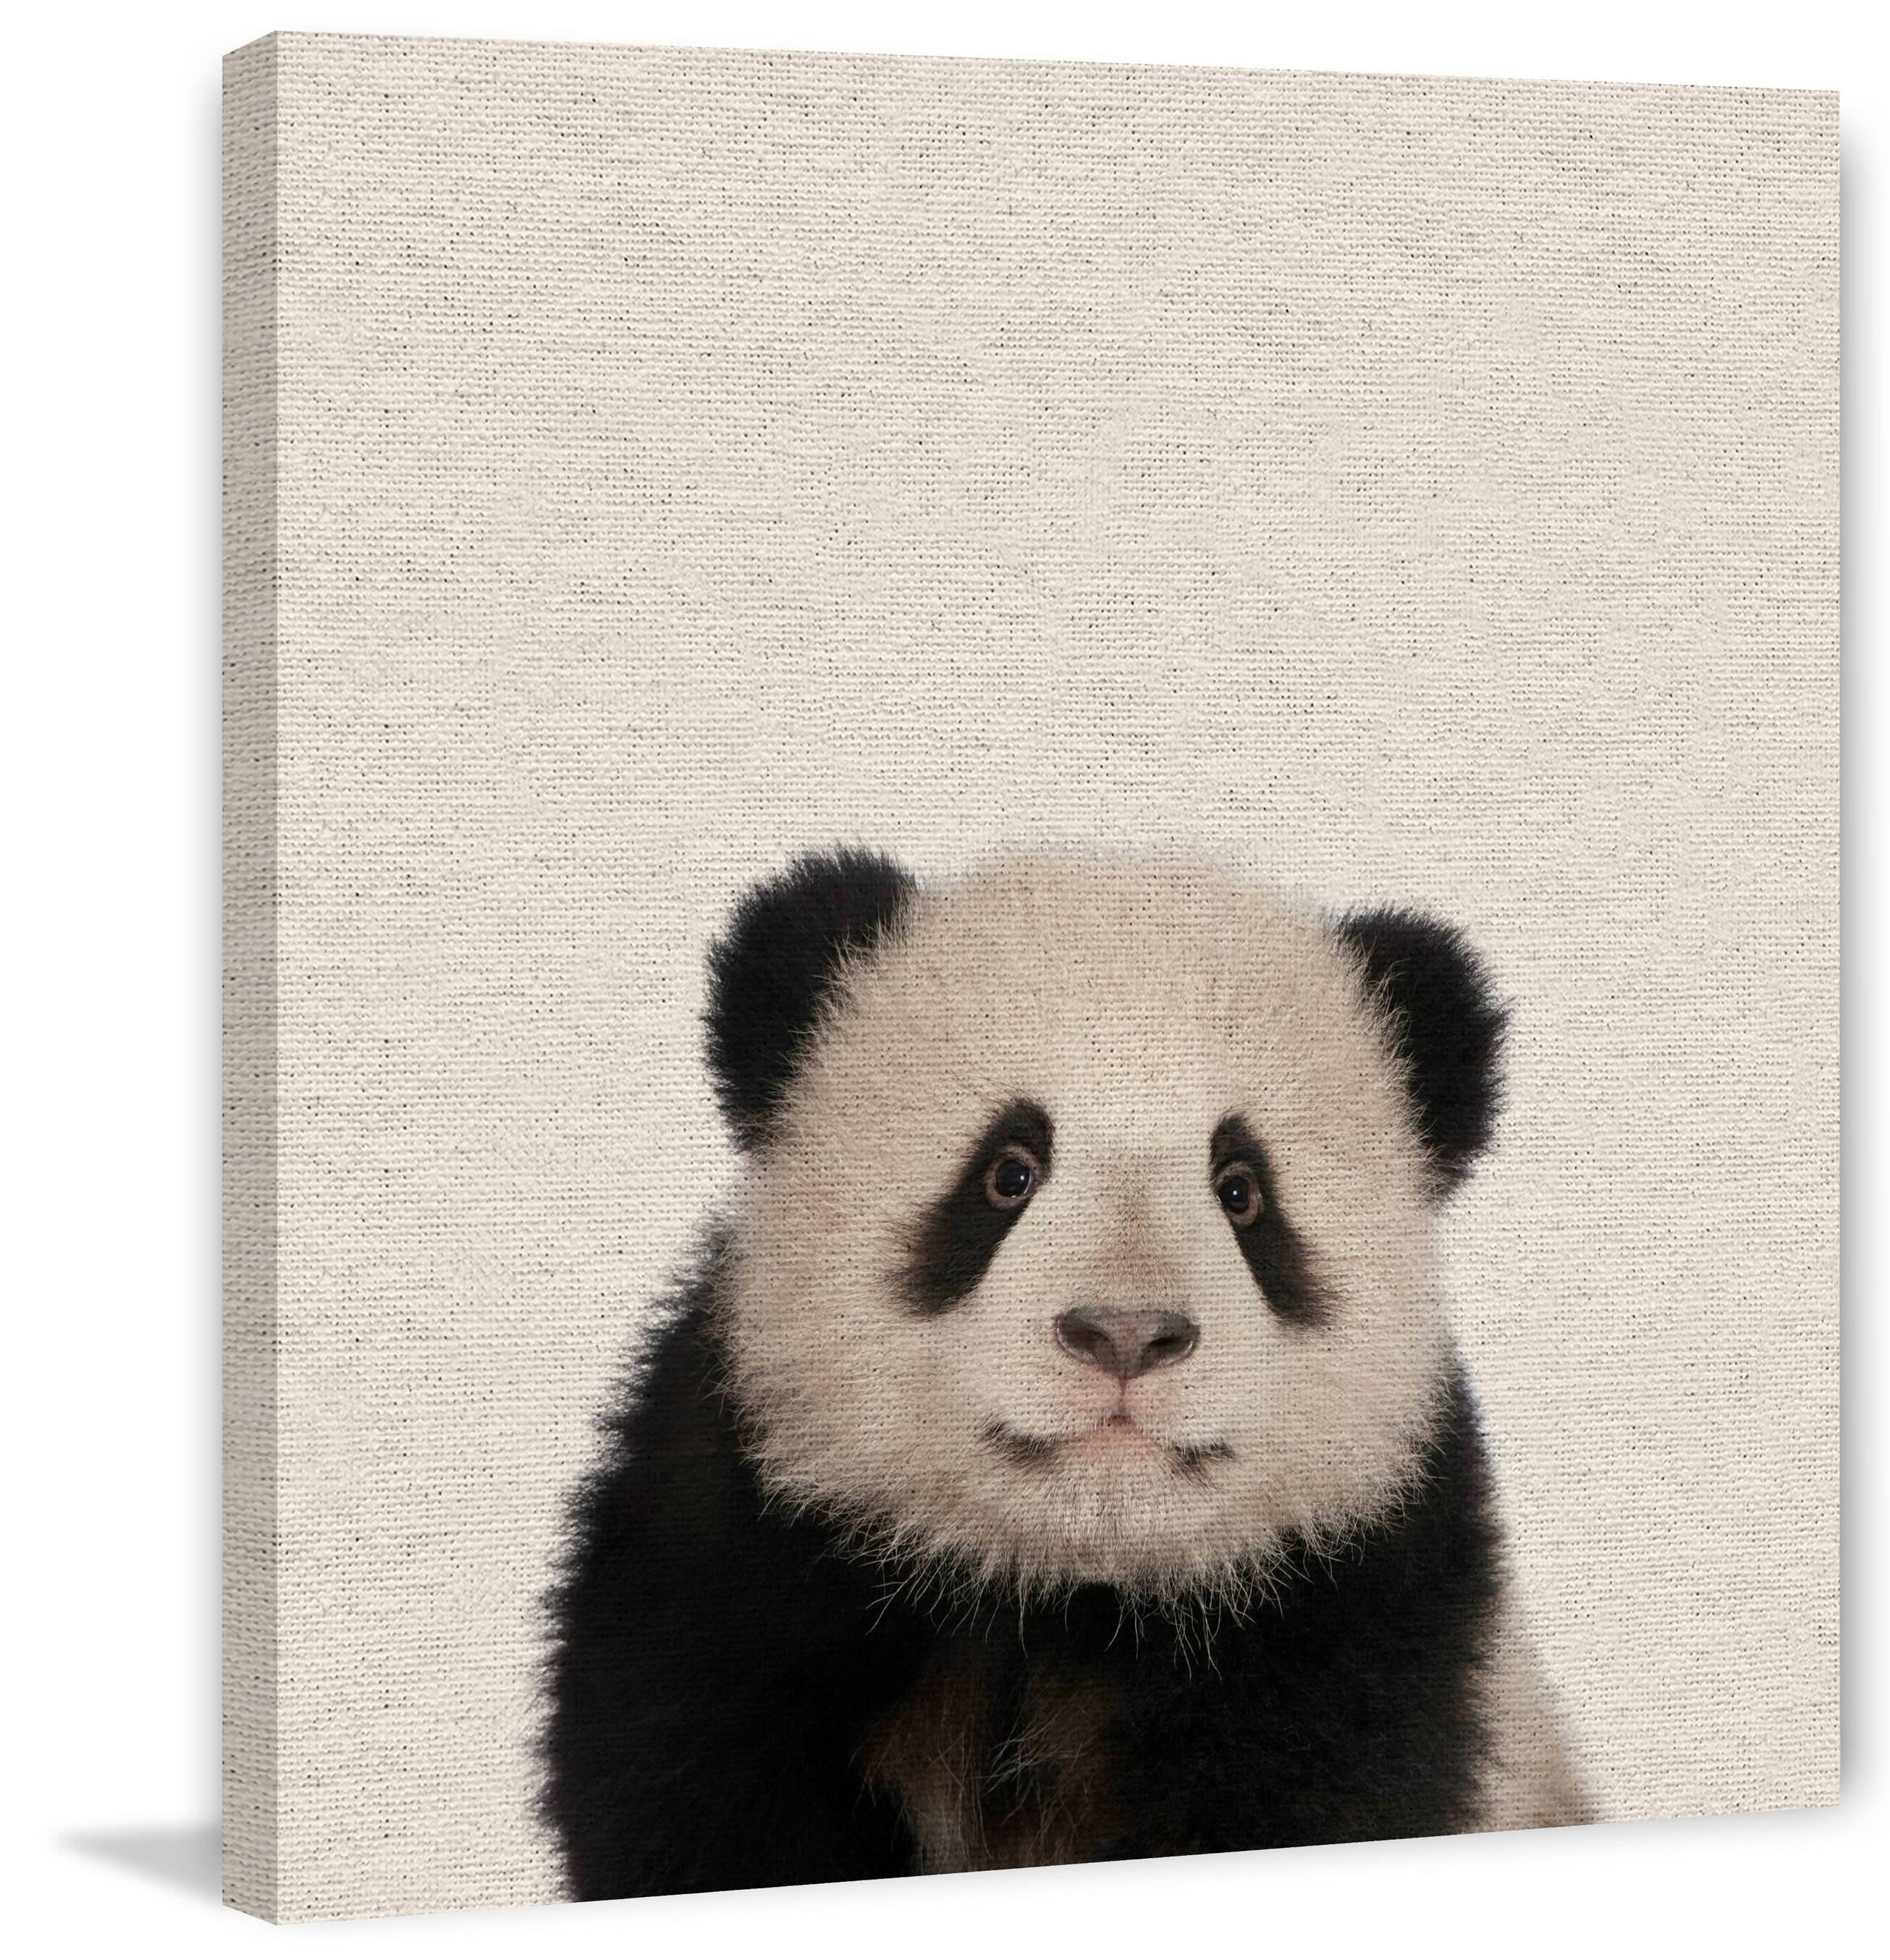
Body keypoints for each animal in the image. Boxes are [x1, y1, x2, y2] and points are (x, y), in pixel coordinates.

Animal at [543, 849, 1588, 1899]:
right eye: (1007, 1171)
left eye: (1242, 1193)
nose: (1124, 1334)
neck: (1057, 1593)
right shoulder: (739, 1552)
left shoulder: (1353, 1608)